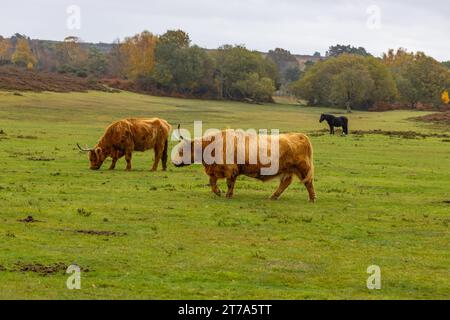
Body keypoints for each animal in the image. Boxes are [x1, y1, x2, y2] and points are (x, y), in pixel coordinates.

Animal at [172, 126, 316, 201]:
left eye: (181, 150)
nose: (173, 162)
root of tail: (300, 135)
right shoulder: (216, 170)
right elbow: (212, 182)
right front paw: (218, 192)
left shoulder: (230, 170)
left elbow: (229, 183)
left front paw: (227, 195)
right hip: (288, 170)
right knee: (285, 183)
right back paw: (273, 196)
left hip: (302, 168)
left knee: (308, 182)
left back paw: (312, 198)